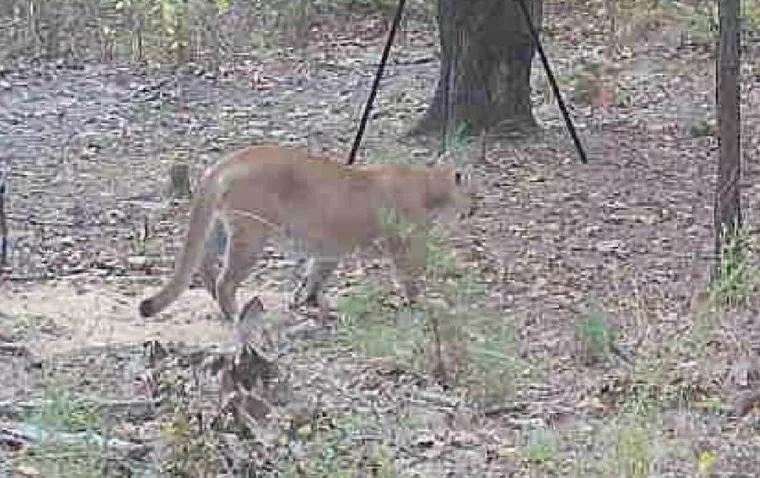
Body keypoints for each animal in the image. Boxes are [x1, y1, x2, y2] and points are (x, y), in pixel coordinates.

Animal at [138, 144, 476, 320]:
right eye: (475, 194)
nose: (475, 207)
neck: (429, 185)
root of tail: (228, 160)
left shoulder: (330, 248)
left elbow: (315, 274)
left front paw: (307, 302)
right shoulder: (405, 244)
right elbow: (411, 276)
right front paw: (425, 304)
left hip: (220, 227)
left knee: (204, 264)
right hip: (251, 233)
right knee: (225, 279)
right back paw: (236, 314)